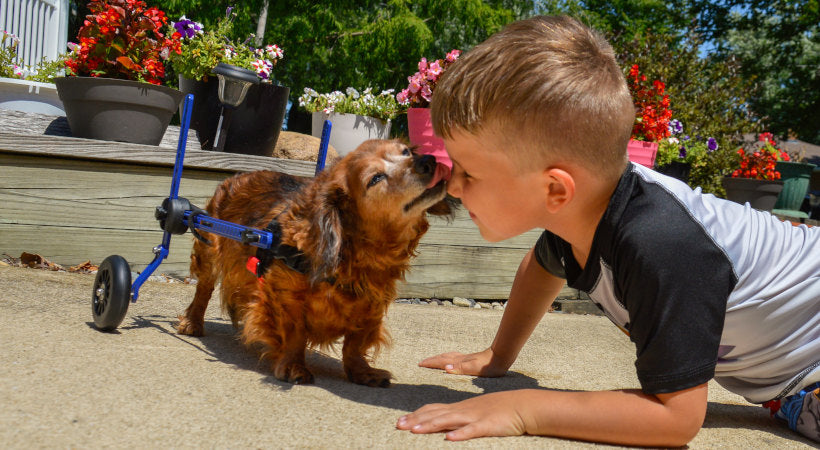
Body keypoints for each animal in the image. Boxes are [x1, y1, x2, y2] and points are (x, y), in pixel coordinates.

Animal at [176, 140, 452, 386]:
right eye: (375, 179)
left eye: (406, 151)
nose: (428, 161)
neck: (355, 254)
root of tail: (240, 175)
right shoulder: (285, 296)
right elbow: (295, 334)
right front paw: (293, 366)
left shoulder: (372, 305)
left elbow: (355, 343)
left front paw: (361, 371)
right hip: (209, 249)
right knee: (204, 289)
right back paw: (193, 322)